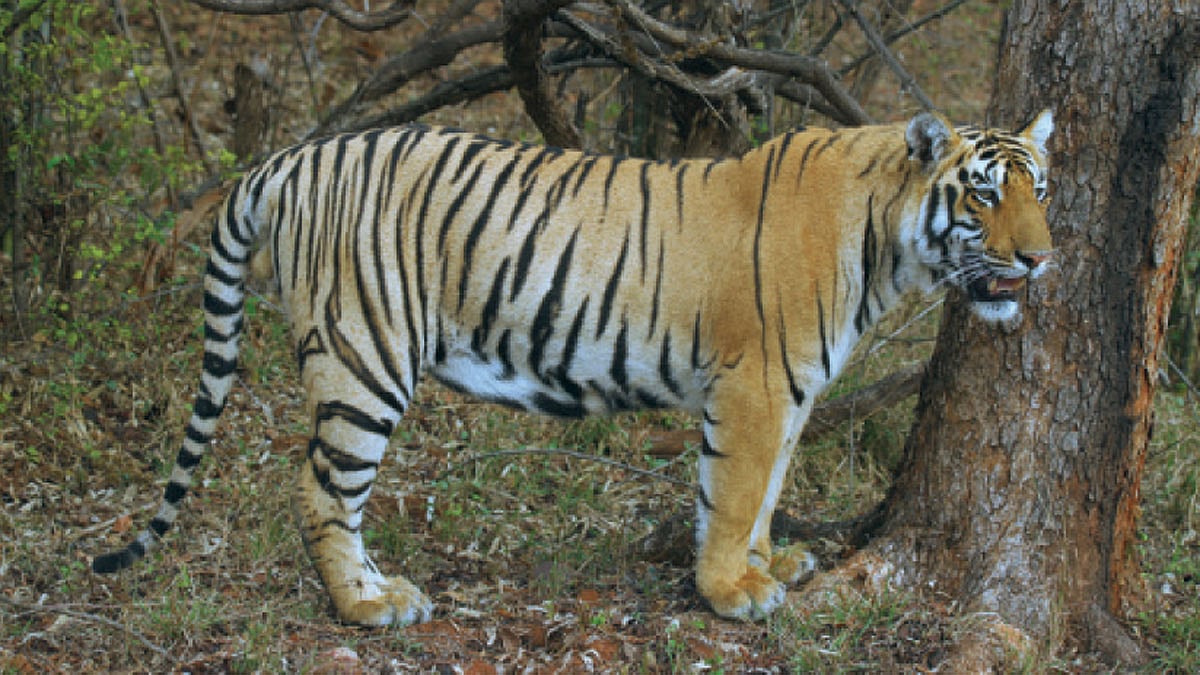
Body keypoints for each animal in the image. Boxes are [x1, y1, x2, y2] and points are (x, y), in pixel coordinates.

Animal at [93, 110, 1054, 625]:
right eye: (982, 194)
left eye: (1039, 189)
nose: (1042, 259)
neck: (889, 246)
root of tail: (293, 154)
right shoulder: (756, 384)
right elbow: (735, 490)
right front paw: (730, 592)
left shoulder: (792, 391)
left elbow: (767, 490)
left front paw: (767, 565)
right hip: (364, 358)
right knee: (321, 489)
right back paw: (368, 604)